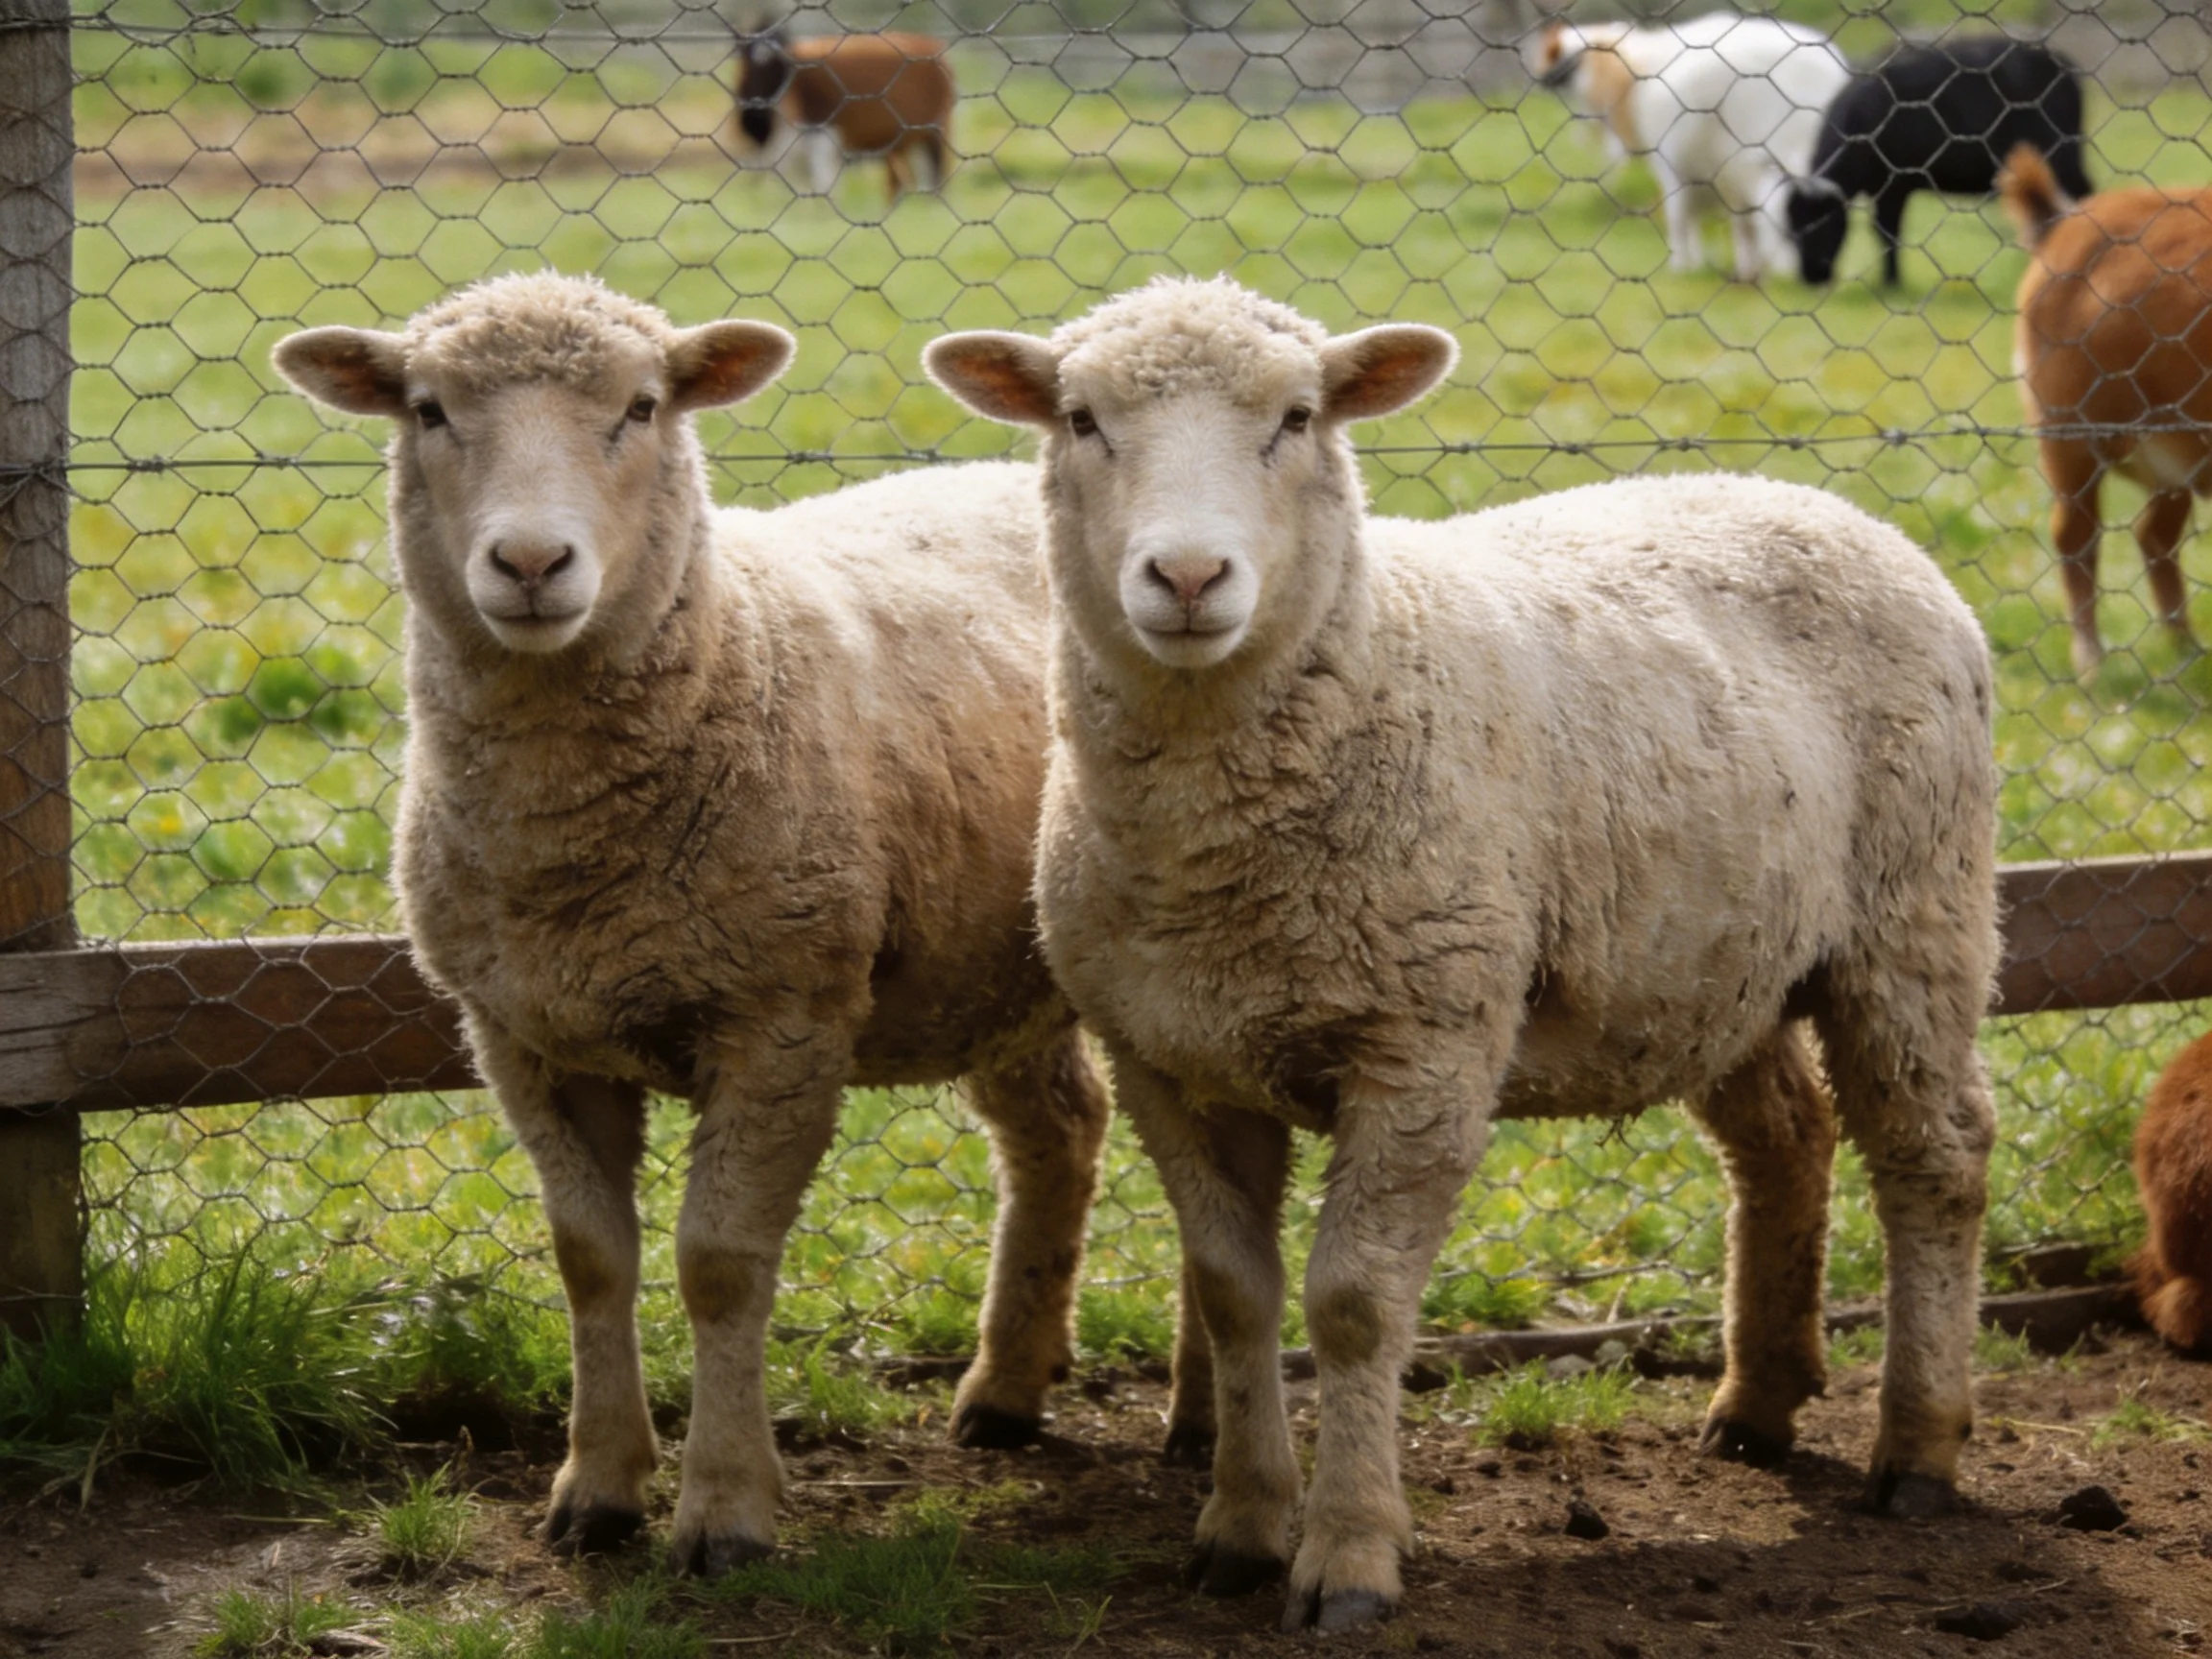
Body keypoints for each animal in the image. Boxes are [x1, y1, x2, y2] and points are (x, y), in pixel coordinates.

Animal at [272, 272, 1110, 1575]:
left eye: (642, 407)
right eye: (428, 410)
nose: (529, 560)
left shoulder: (784, 1017)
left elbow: (717, 1265)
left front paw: (723, 1508)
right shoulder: (523, 1036)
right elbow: (591, 1260)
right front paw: (598, 1488)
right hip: (991, 975)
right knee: (1060, 1131)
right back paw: (1007, 1393)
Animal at [928, 277, 1999, 1633]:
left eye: (1298, 417)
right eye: (1080, 419)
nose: (1187, 573)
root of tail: (1822, 503)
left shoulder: (1427, 1042)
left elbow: (1352, 1304)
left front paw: (1347, 1555)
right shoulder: (1171, 1054)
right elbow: (1233, 1294)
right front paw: (1241, 1527)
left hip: (1913, 916)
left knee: (1934, 1157)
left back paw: (1918, 1447)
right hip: (1712, 960)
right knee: (1786, 1138)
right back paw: (1756, 1405)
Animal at [1528, 11, 1851, 279]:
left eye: (1557, 58)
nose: (1538, 79)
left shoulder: (1676, 168)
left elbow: (1680, 218)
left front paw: (1683, 267)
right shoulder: (1725, 179)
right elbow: (1738, 226)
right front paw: (1742, 268)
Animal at [1787, 36, 2092, 287]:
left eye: (1821, 222)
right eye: (1791, 227)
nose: (1810, 276)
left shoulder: (1895, 186)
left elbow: (1888, 232)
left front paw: (1892, 282)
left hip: (2064, 161)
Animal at [2000, 144, 2212, 678]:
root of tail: (2065, 222)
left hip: (2176, 455)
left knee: (2152, 535)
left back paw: (2185, 648)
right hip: (2070, 436)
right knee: (2077, 536)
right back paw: (2092, 665)